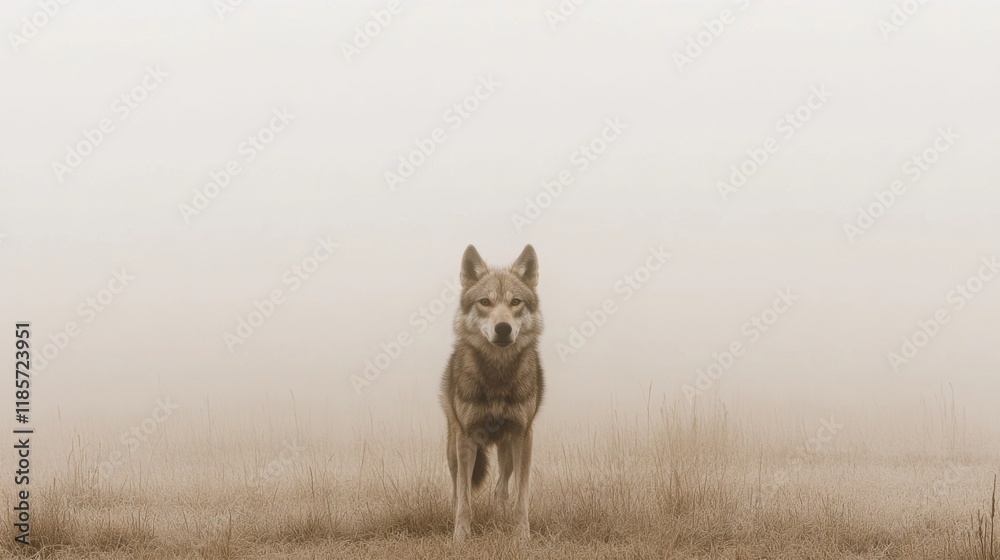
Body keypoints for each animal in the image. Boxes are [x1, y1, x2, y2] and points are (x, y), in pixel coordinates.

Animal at [440, 244, 544, 543]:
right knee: (457, 487)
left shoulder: (523, 435)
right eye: (485, 302)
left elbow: (521, 497)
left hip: (507, 448)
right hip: (453, 447)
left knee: (501, 488)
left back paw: (501, 517)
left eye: (515, 302)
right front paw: (460, 538)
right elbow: (464, 499)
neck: (497, 376)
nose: (503, 328)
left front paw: (521, 538)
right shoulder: (467, 437)